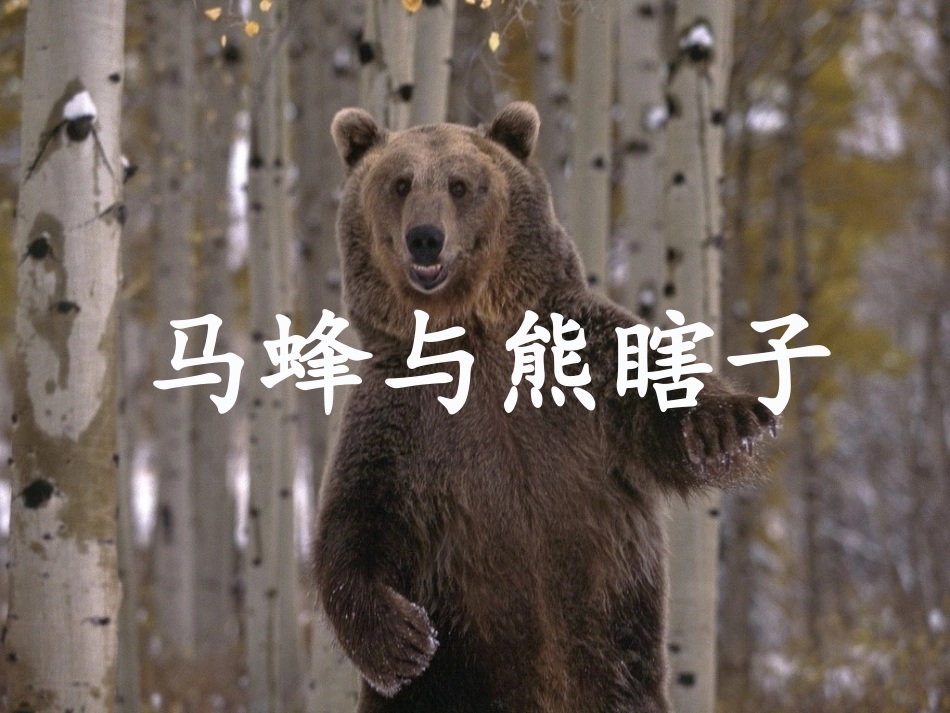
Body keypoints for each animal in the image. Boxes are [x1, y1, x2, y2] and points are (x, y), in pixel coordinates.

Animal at [314, 102, 777, 713]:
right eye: (400, 183)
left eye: (460, 185)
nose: (425, 238)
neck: (470, 331)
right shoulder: (400, 421)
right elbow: (353, 525)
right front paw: (404, 641)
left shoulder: (580, 372)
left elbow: (655, 386)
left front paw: (729, 423)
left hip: (617, 666)